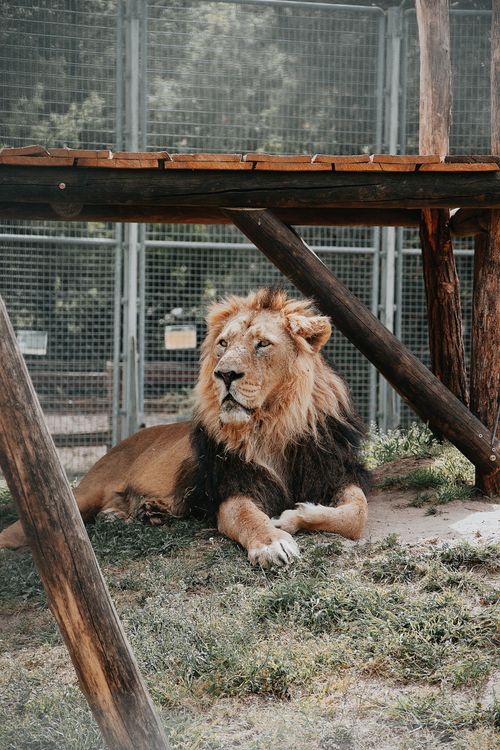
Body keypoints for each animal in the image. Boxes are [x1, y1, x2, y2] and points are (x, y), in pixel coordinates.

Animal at [0, 288, 369, 567]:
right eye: (223, 344)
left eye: (262, 344)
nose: (225, 374)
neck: (271, 425)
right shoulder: (231, 487)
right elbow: (249, 518)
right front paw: (272, 542)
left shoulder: (335, 471)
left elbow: (356, 514)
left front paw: (295, 516)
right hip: (82, 495)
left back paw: (136, 513)